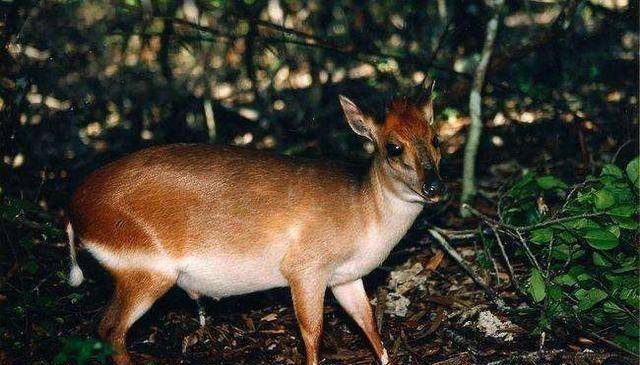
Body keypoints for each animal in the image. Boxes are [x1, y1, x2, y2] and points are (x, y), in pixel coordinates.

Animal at [65, 89, 444, 364]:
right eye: (393, 147)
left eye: (435, 138)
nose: (434, 187)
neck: (364, 213)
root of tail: (73, 211)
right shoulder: (304, 267)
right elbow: (312, 333)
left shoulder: (345, 277)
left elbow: (369, 325)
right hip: (144, 270)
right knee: (110, 329)